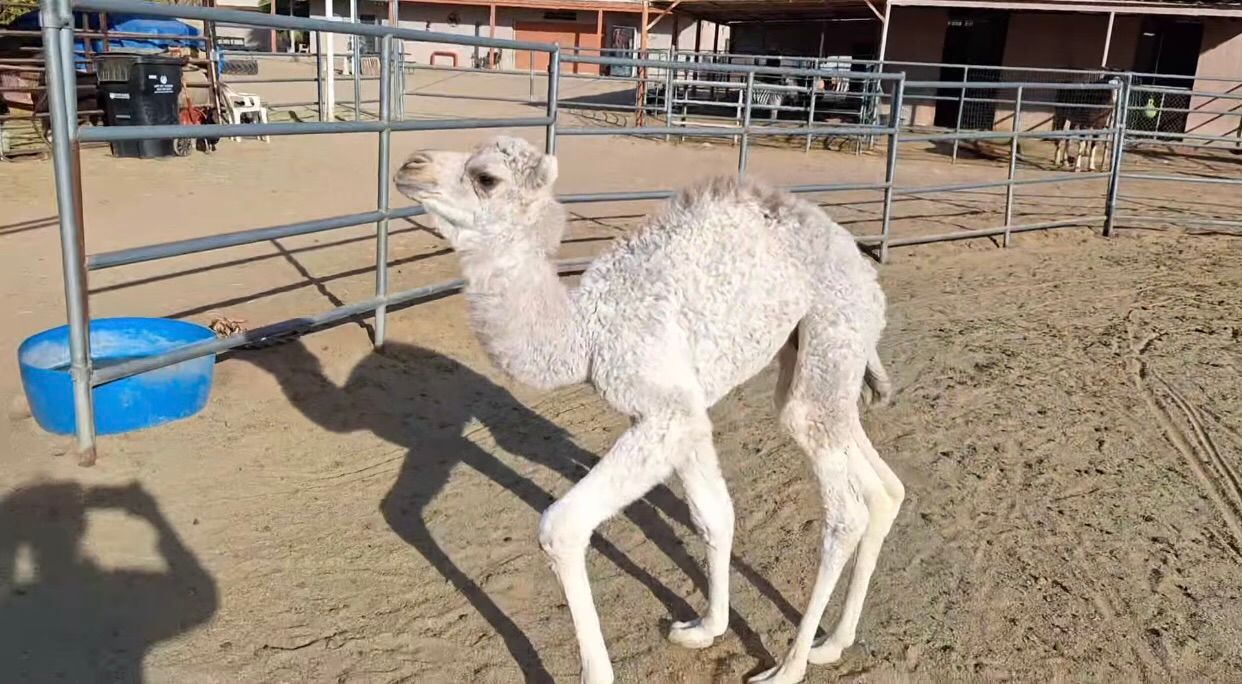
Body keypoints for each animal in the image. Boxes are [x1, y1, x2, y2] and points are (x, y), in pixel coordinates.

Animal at [393, 136, 903, 684]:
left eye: (486, 177)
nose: (410, 166)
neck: (584, 335)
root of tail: (862, 268)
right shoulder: (686, 412)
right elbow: (714, 514)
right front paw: (706, 628)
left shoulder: (665, 410)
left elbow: (560, 527)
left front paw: (596, 674)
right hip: (819, 359)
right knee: (877, 482)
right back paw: (834, 642)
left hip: (834, 331)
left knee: (845, 510)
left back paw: (789, 667)